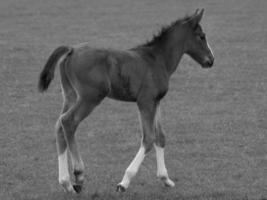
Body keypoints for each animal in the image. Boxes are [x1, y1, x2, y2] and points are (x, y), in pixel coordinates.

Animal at [37, 8, 215, 193]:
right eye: (201, 36)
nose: (211, 60)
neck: (157, 59)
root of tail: (72, 50)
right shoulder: (145, 102)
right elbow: (149, 138)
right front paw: (124, 182)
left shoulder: (156, 101)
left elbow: (160, 137)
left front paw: (165, 179)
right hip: (90, 97)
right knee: (68, 121)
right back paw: (78, 175)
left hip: (71, 95)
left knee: (59, 125)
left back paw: (65, 182)